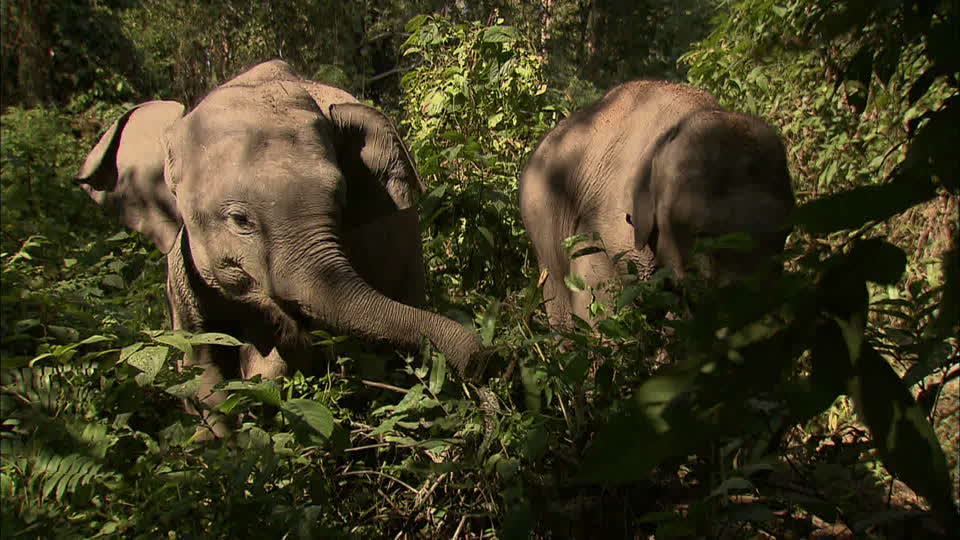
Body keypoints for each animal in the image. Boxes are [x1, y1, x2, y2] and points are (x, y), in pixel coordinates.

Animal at [77, 61, 488, 436]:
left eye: (340, 201)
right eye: (240, 220)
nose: (480, 360)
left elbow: (285, 358)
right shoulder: (179, 269)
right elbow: (198, 362)